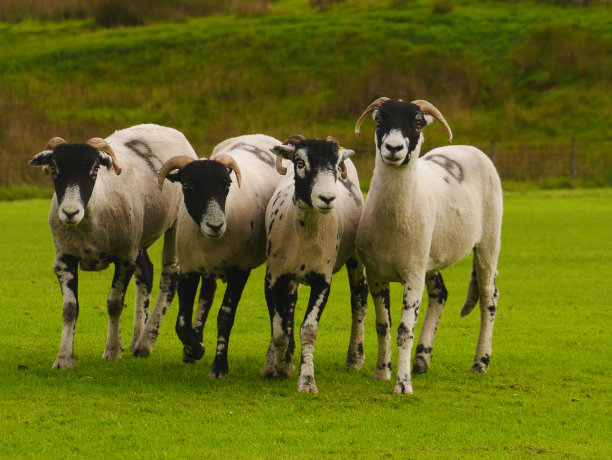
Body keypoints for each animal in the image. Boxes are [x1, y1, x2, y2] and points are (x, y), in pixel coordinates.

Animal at [28, 124, 197, 368]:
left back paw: (146, 342)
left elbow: (114, 303)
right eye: (54, 170)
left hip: (174, 225)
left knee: (169, 276)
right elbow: (69, 309)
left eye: (94, 171)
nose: (70, 212)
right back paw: (137, 339)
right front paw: (64, 358)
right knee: (146, 272)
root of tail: (166, 128)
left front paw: (112, 350)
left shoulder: (124, 258)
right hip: (138, 239)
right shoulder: (63, 259)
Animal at [157, 133, 284, 378]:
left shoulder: (240, 269)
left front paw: (219, 367)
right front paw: (195, 348)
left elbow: (225, 317)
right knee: (208, 292)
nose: (215, 226)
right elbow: (181, 323)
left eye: (227, 185)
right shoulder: (188, 268)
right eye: (187, 185)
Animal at [264, 135, 368, 394]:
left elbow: (309, 330)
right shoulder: (273, 278)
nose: (327, 198)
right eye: (300, 163)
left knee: (359, 301)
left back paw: (355, 358)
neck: (304, 233)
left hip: (356, 259)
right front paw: (281, 365)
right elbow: (279, 331)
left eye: (337, 165)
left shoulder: (323, 281)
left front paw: (306, 380)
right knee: (290, 305)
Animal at [354, 98, 502, 396]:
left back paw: (480, 362)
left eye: (418, 122)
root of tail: (468, 147)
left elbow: (403, 331)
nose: (394, 148)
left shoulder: (412, 274)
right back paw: (422, 358)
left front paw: (403, 385)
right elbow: (383, 325)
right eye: (379, 120)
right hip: (430, 255)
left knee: (488, 299)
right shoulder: (376, 274)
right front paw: (382, 372)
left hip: (489, 241)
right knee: (440, 294)